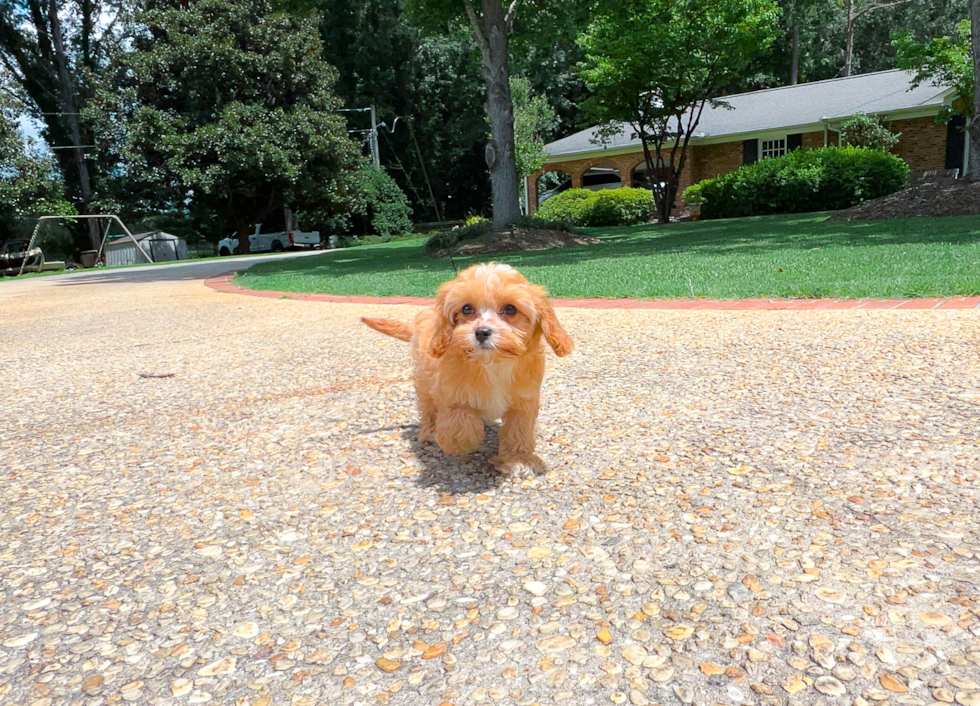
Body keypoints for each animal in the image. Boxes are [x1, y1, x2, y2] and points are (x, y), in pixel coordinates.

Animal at [362, 262, 576, 476]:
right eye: (466, 309)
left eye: (510, 309)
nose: (481, 332)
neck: (493, 363)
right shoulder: (451, 393)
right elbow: (460, 422)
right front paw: (462, 443)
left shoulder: (523, 400)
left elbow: (518, 430)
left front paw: (518, 460)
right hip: (424, 379)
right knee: (428, 407)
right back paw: (430, 431)